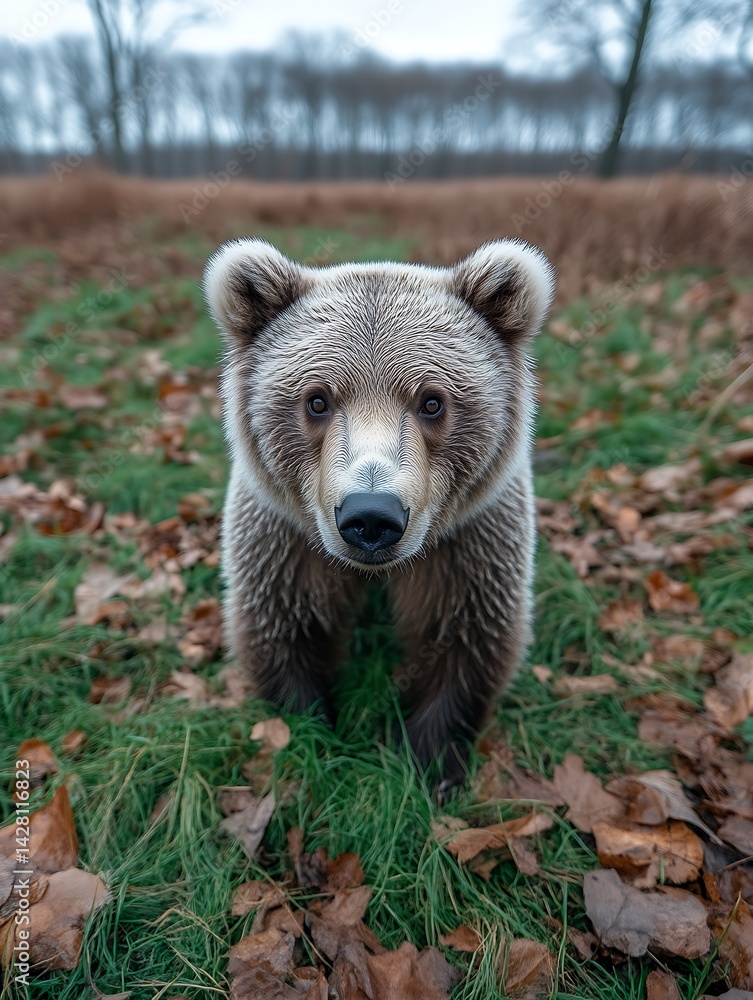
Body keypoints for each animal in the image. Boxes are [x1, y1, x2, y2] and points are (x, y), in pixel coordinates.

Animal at [203, 237, 555, 793]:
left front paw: (431, 760)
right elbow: (282, 623)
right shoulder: (286, 537)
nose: (371, 516)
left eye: (432, 401)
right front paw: (312, 729)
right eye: (317, 400)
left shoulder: (470, 540)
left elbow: (467, 634)